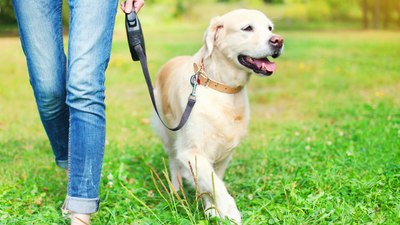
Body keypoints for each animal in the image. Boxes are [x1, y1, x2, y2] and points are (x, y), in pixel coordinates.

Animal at [152, 8, 282, 223]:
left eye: (270, 28)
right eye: (247, 28)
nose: (278, 40)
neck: (222, 86)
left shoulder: (224, 153)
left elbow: (212, 183)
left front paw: (212, 209)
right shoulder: (191, 151)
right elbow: (217, 186)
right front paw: (231, 214)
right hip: (168, 134)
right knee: (173, 162)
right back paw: (176, 190)